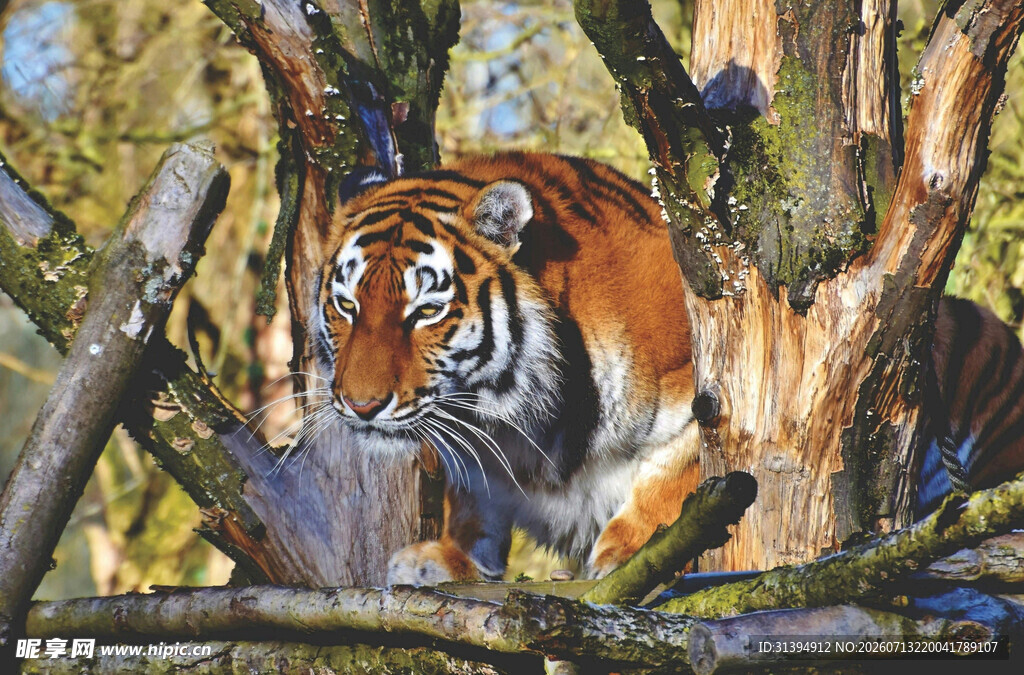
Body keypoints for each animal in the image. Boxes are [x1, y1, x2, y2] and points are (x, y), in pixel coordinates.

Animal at [309, 151, 1024, 585]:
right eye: (346, 304)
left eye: (425, 311)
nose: (360, 404)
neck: (510, 414)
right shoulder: (473, 440)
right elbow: (474, 500)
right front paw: (445, 559)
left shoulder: (711, 395)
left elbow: (681, 476)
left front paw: (624, 554)